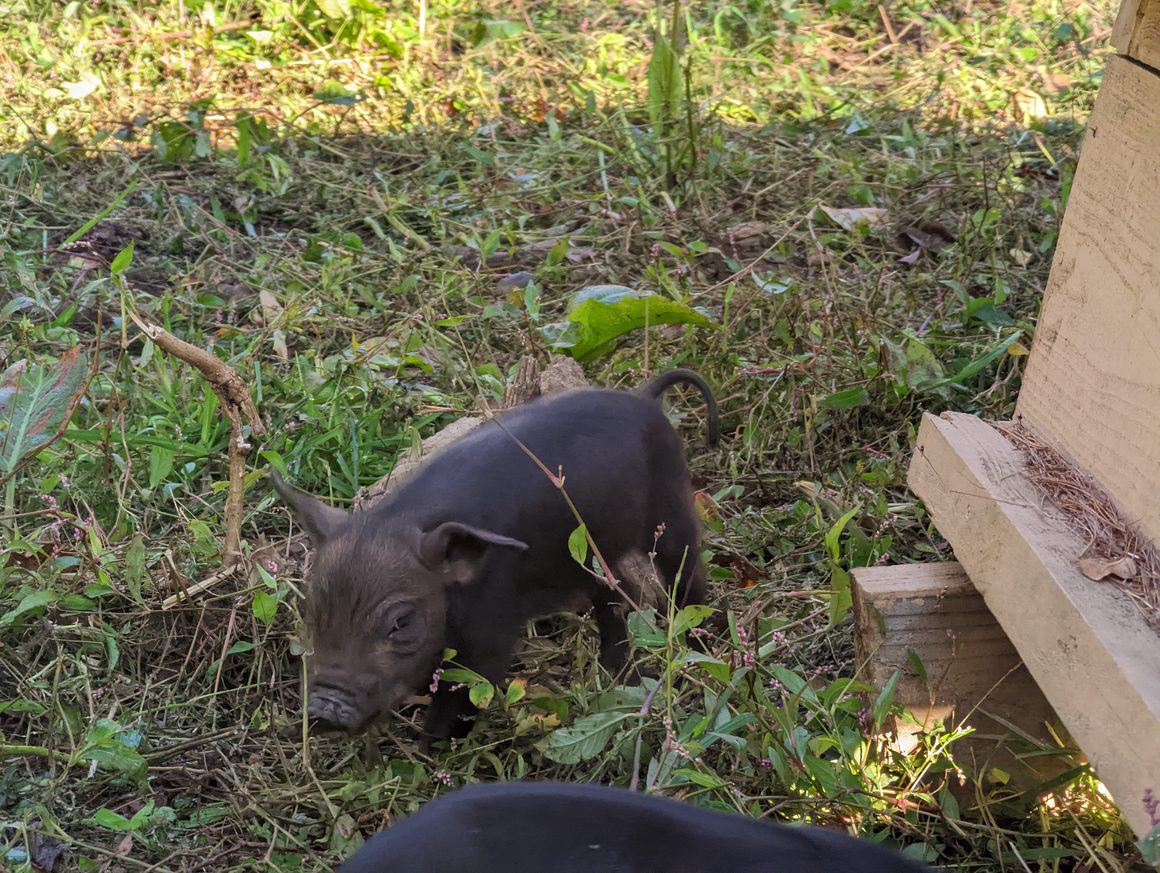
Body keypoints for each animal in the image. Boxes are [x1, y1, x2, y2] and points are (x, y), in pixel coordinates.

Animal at [271, 369, 718, 743]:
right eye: (311, 610)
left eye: (400, 623)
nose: (324, 706)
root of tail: (645, 397)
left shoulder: (493, 626)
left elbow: (466, 691)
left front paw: (432, 749)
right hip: (592, 556)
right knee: (614, 595)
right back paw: (610, 675)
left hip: (670, 506)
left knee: (687, 572)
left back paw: (696, 642)